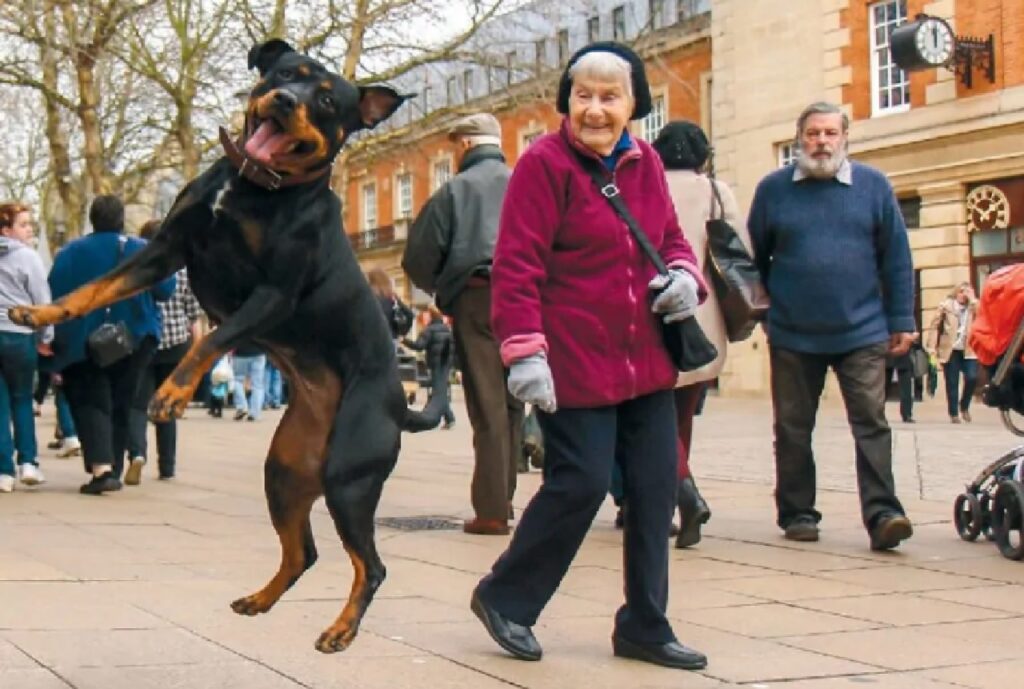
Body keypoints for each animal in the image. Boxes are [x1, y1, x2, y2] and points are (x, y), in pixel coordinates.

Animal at [7, 40, 448, 651]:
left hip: (348, 477)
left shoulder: (272, 296)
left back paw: (340, 630)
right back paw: (259, 601)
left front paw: (170, 394)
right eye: (285, 74)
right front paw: (39, 312)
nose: (285, 101)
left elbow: (213, 338)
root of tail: (398, 404)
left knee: (372, 566)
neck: (251, 188)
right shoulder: (166, 251)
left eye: (327, 100)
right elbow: (93, 289)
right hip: (284, 474)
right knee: (303, 551)